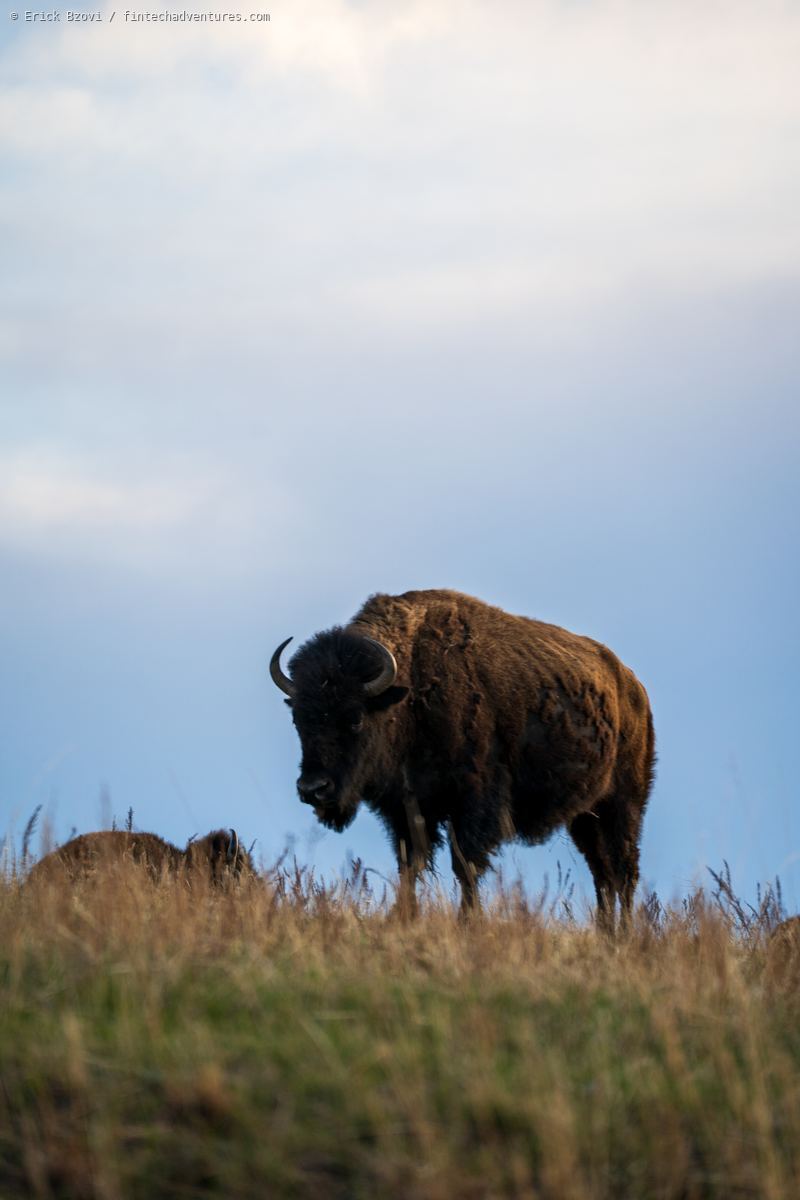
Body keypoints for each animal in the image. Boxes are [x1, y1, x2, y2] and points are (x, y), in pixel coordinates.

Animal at [271, 588, 655, 928]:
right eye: (298, 719)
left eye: (355, 718)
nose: (313, 789)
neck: (408, 689)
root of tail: (633, 688)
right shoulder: (406, 808)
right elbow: (410, 863)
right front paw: (402, 917)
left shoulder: (473, 802)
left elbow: (464, 864)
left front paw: (468, 921)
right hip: (585, 817)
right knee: (603, 873)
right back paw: (605, 932)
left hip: (623, 805)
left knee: (624, 870)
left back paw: (624, 933)